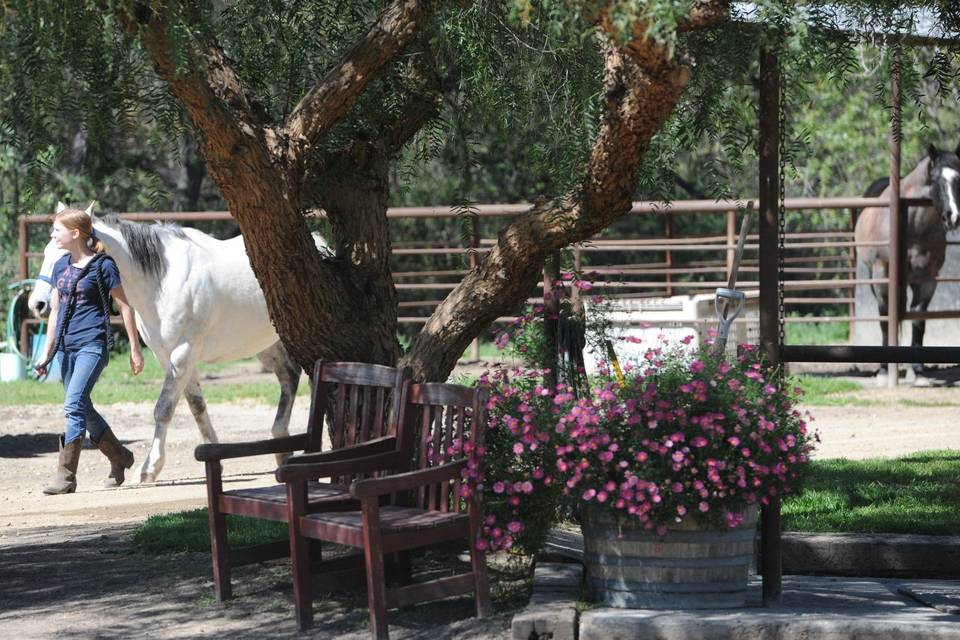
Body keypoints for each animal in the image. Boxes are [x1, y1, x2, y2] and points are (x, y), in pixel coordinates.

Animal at [30, 205, 330, 480]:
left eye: (65, 254)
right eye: (46, 252)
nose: (39, 304)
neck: (161, 281)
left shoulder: (183, 353)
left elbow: (163, 409)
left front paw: (150, 468)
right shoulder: (169, 357)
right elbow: (196, 405)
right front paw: (214, 455)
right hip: (267, 346)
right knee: (289, 377)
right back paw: (283, 448)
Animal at [856, 142, 960, 378]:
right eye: (937, 178)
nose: (953, 216)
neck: (912, 225)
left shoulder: (928, 278)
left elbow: (918, 318)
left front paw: (918, 370)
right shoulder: (882, 274)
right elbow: (886, 317)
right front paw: (883, 371)